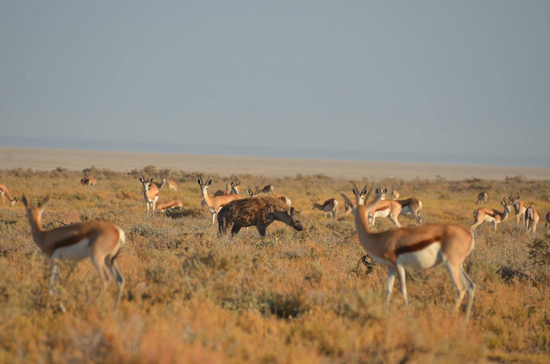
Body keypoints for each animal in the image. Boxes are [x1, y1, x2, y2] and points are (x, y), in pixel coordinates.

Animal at [342, 188, 476, 322]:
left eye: (362, 196)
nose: (357, 205)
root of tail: (470, 235)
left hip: (448, 262)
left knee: (461, 289)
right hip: (458, 265)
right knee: (470, 286)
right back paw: (465, 320)